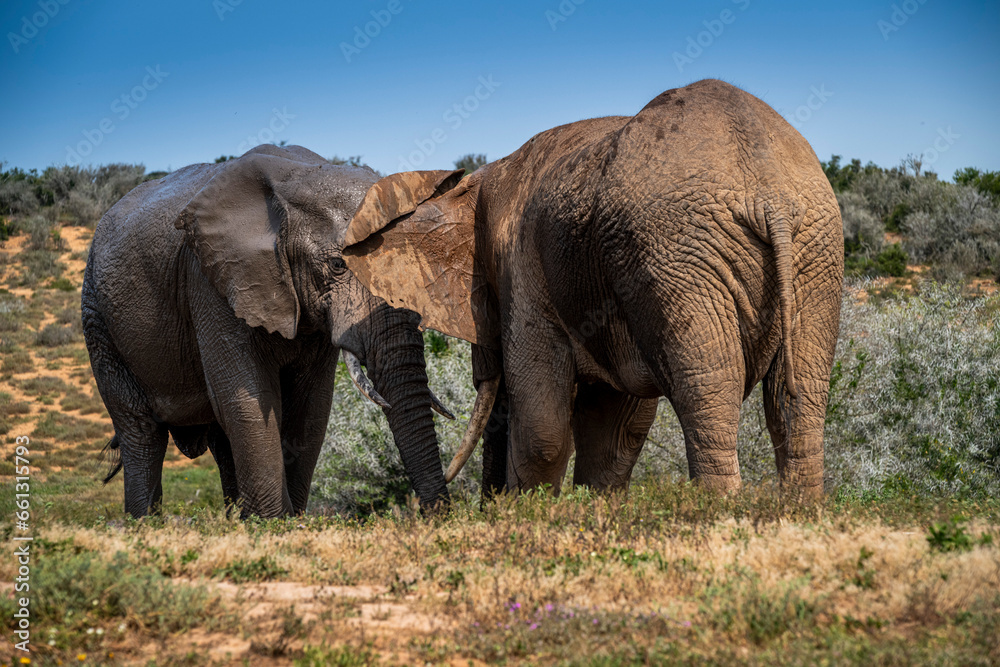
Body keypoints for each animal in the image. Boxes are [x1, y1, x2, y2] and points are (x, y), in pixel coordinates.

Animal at [82, 144, 476, 518]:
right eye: (337, 264)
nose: (433, 514)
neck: (298, 177)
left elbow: (311, 409)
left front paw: (284, 523)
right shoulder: (211, 281)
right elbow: (249, 400)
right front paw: (276, 525)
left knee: (221, 439)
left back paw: (239, 522)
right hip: (98, 319)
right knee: (141, 433)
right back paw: (145, 523)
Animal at [342, 79, 844, 499]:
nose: (489, 504)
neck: (481, 180)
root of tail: (767, 191)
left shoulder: (525, 271)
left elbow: (544, 425)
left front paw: (531, 515)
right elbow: (614, 430)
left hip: (679, 250)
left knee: (709, 385)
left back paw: (716, 513)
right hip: (811, 248)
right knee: (798, 393)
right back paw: (800, 512)